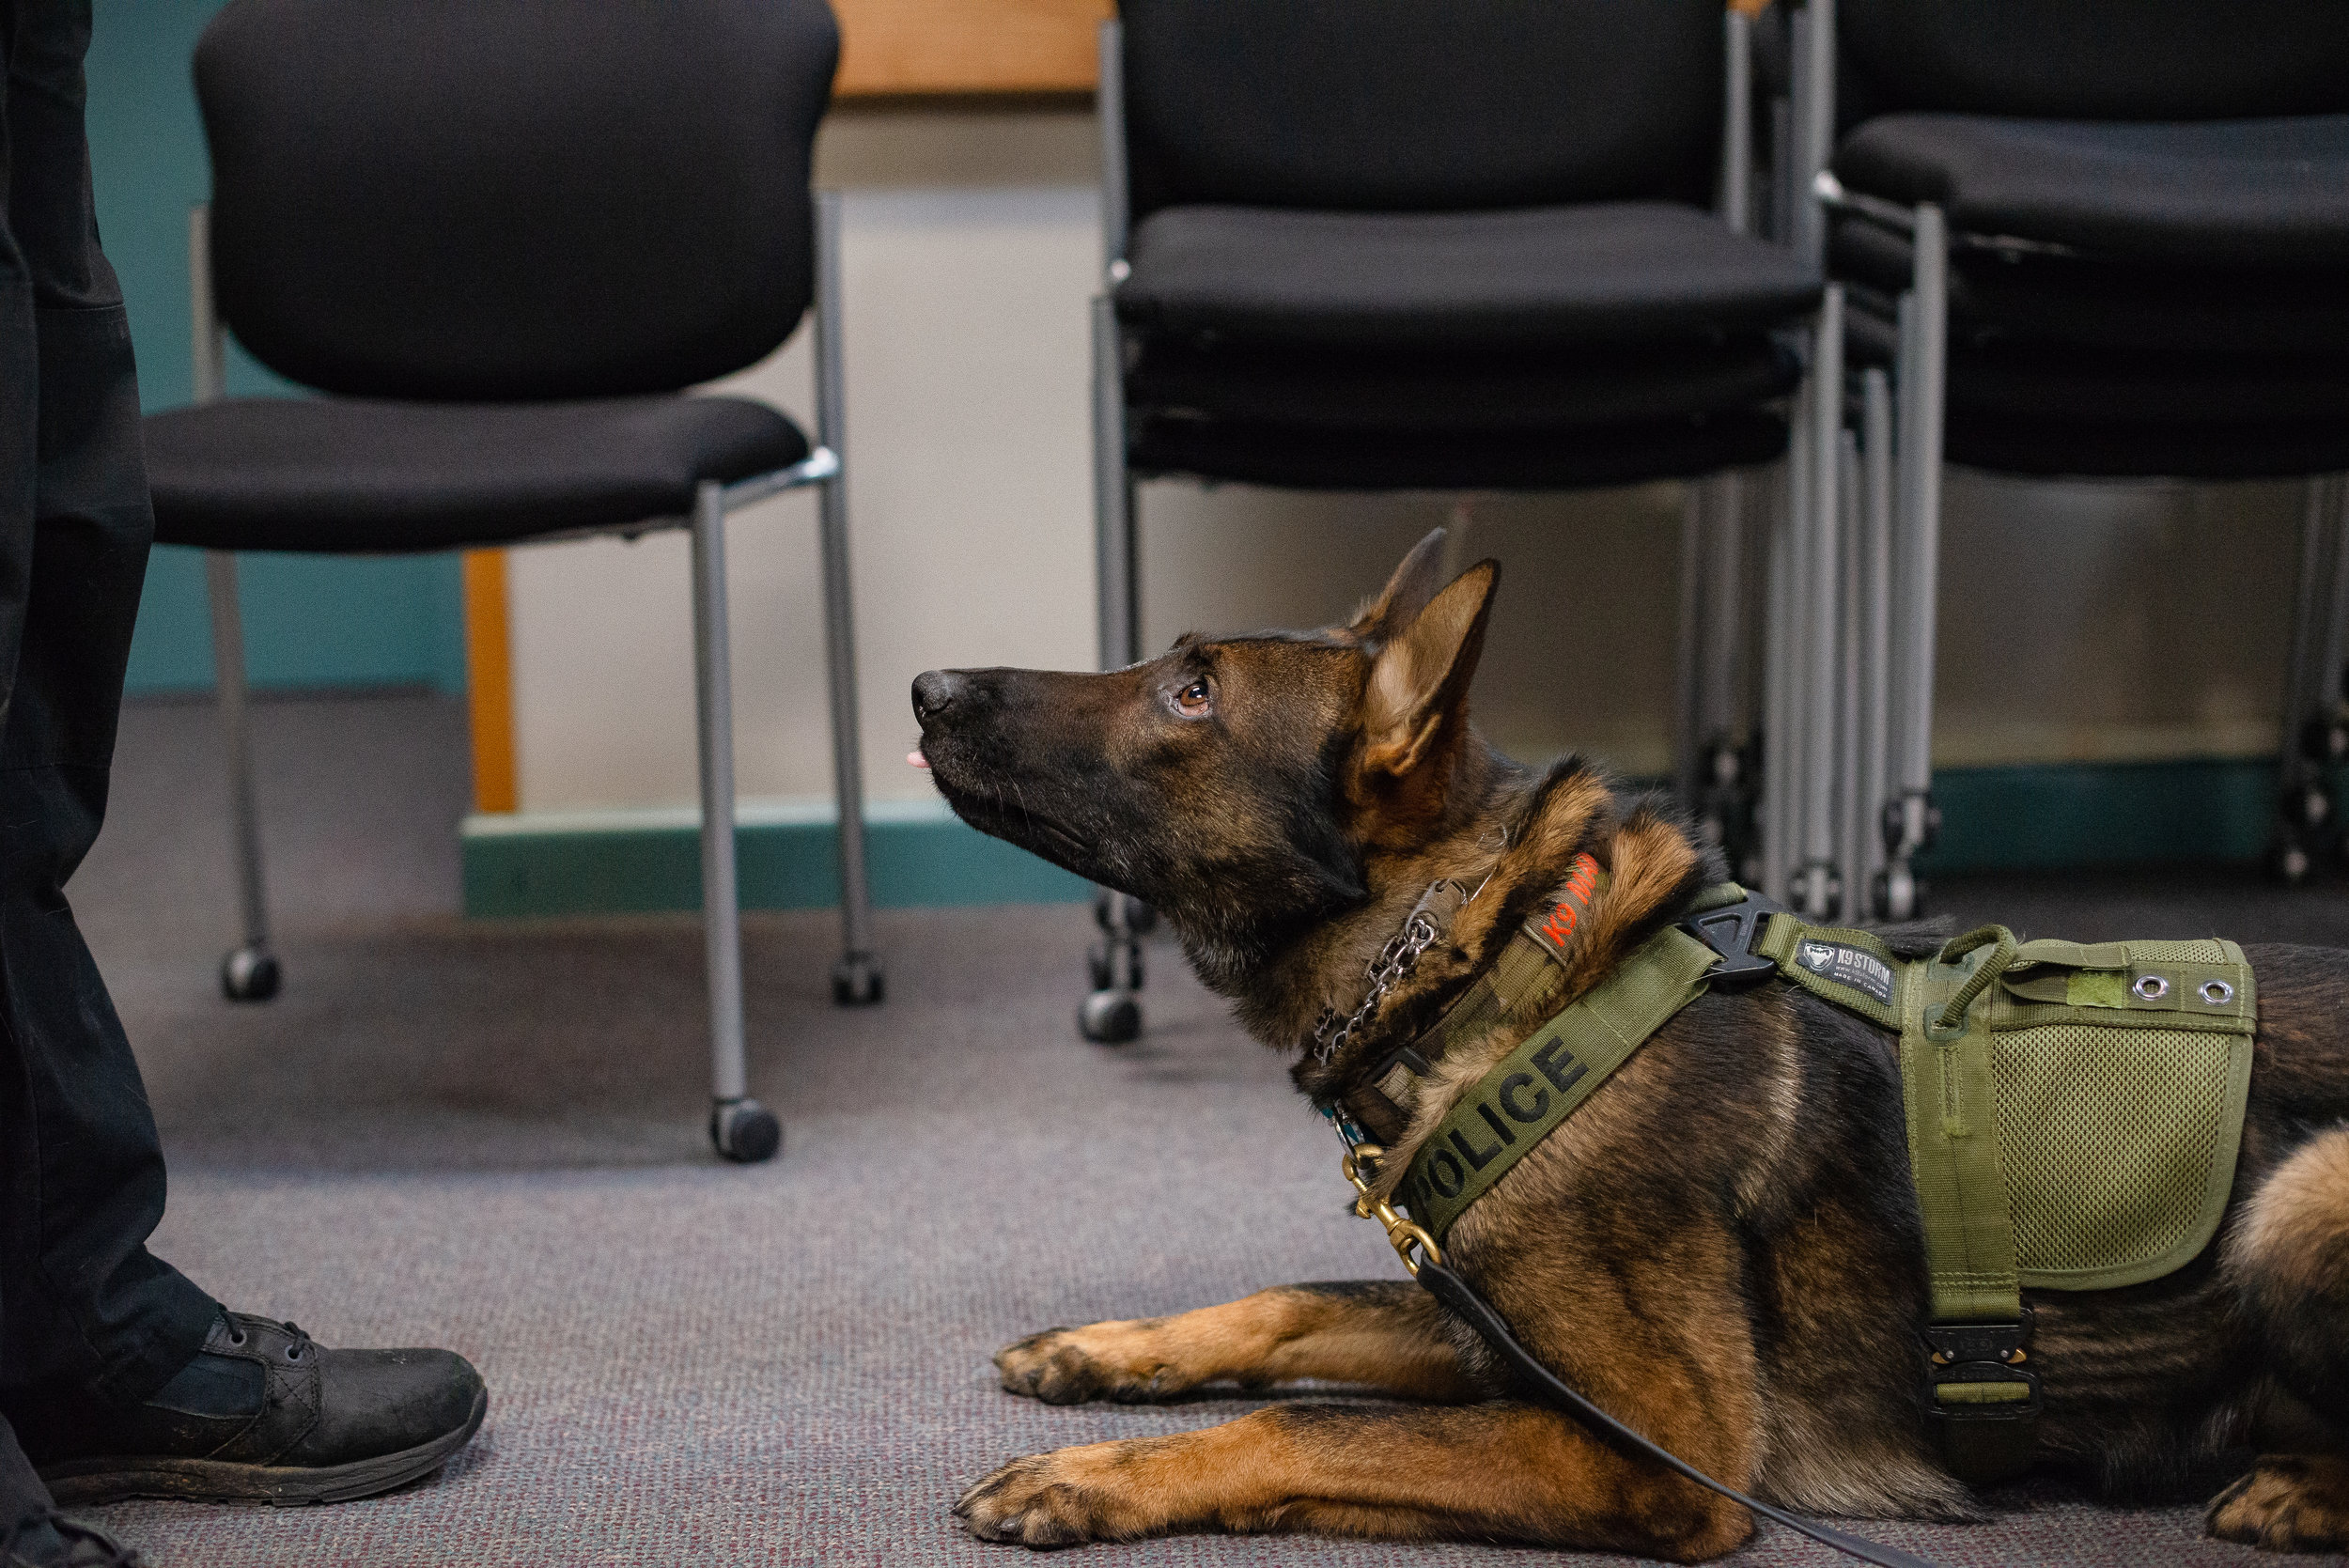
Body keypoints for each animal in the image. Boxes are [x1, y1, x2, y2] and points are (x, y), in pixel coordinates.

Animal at [911, 535, 2349, 1559]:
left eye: (1194, 691)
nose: (926, 686)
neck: (1488, 972)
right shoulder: (1486, 1331)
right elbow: (1290, 1305)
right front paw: (1105, 1350)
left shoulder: (1657, 1450)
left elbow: (1307, 1416)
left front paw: (1097, 1479)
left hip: (2297, 1197)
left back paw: (2296, 1488)